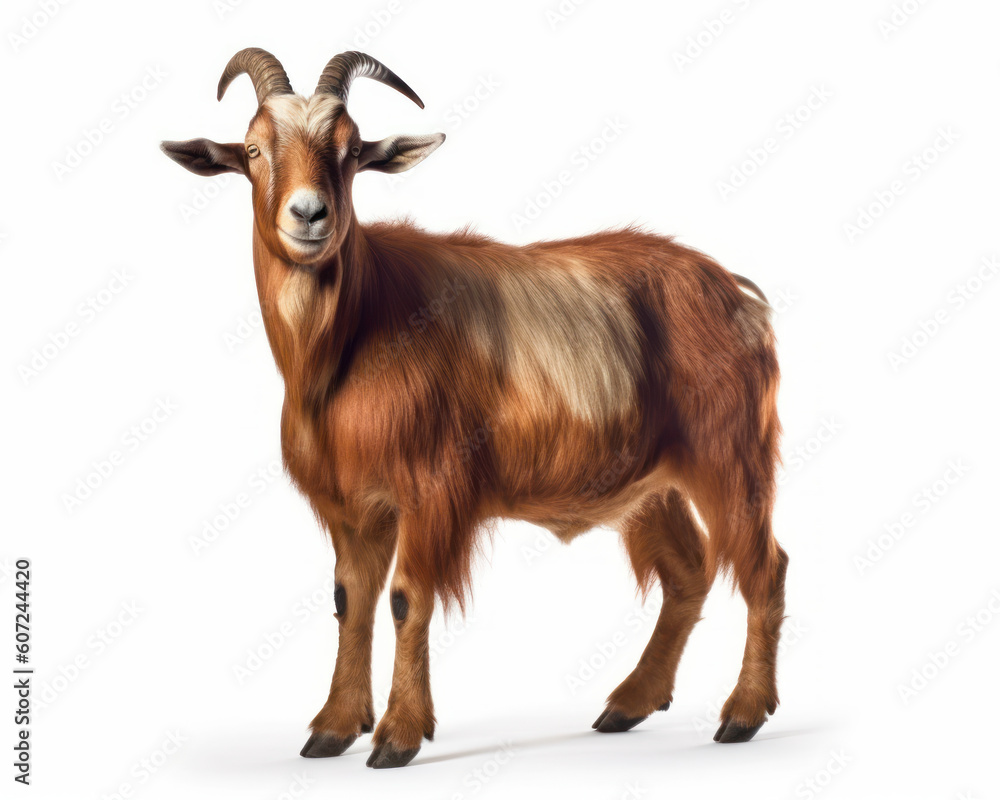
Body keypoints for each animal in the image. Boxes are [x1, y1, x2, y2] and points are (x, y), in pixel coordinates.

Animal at [162, 48, 788, 769]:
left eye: (352, 152)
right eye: (254, 149)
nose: (309, 214)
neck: (351, 334)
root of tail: (738, 295)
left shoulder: (432, 487)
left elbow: (407, 598)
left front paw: (398, 735)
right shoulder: (353, 502)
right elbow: (351, 599)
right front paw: (333, 727)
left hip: (729, 454)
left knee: (764, 567)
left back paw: (742, 714)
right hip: (649, 483)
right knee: (689, 572)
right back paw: (630, 702)